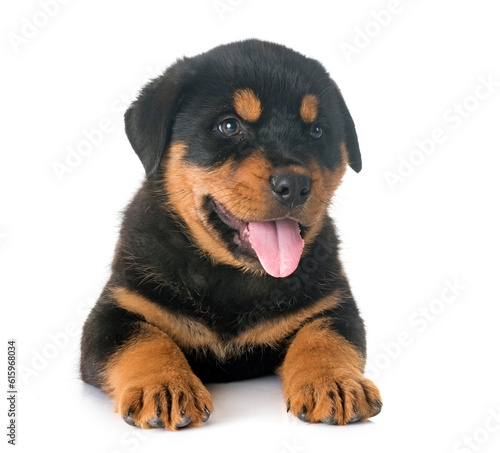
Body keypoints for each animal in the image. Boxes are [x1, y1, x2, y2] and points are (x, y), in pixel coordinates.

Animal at [80, 38, 382, 428]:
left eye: (317, 131)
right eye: (228, 126)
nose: (295, 185)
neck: (233, 277)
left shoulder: (333, 305)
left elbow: (325, 337)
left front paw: (335, 382)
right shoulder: (116, 309)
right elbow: (143, 340)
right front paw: (165, 386)